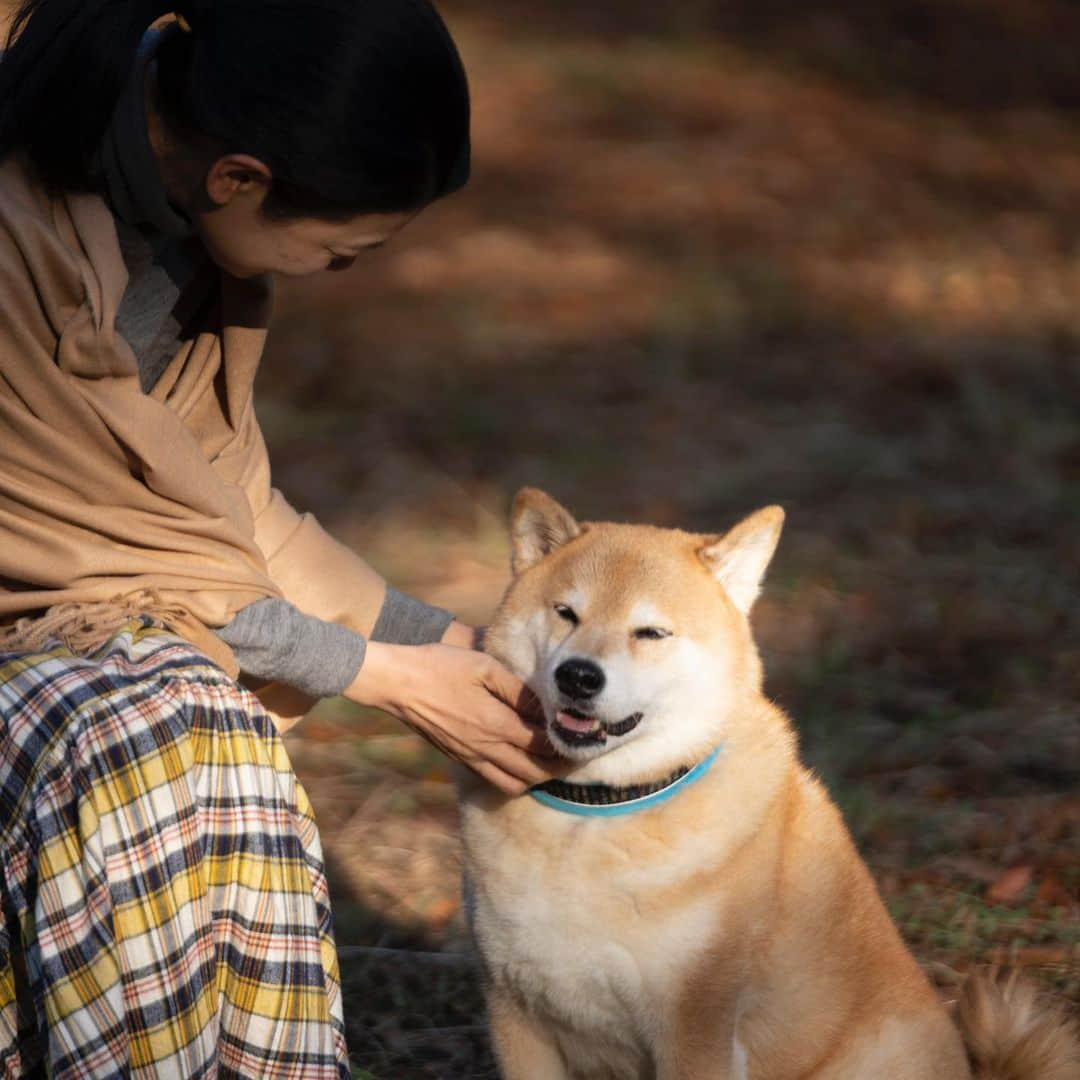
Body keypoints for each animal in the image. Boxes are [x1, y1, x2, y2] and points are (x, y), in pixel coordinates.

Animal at [457, 492, 1080, 1080]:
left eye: (651, 632)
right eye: (566, 612)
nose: (579, 676)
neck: (594, 812)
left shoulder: (695, 1026)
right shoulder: (514, 1013)